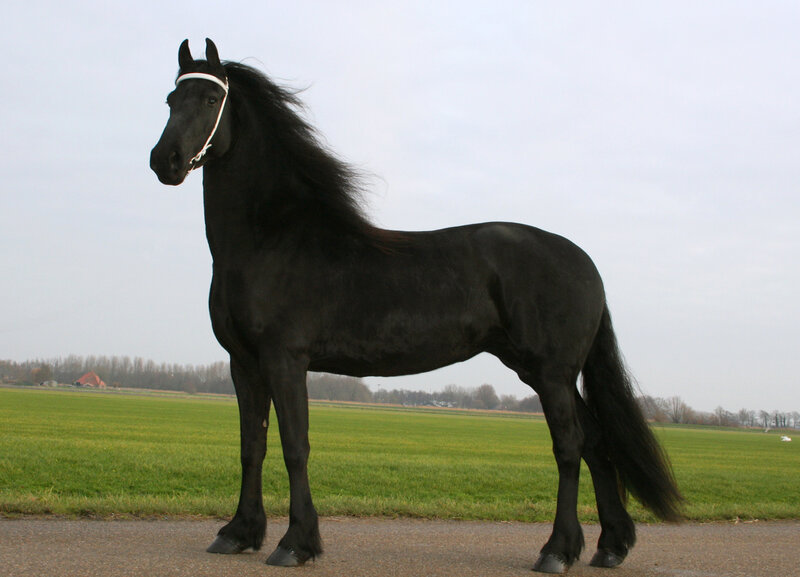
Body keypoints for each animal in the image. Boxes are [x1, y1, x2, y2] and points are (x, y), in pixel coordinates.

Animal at [150, 38, 682, 574]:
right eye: (172, 100)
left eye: (211, 100)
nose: (164, 161)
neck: (273, 239)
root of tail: (584, 262)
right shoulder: (244, 363)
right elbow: (251, 446)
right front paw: (238, 533)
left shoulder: (285, 360)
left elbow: (295, 446)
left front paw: (296, 543)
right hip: (547, 373)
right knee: (597, 442)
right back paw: (609, 545)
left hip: (550, 374)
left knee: (570, 447)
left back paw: (556, 550)